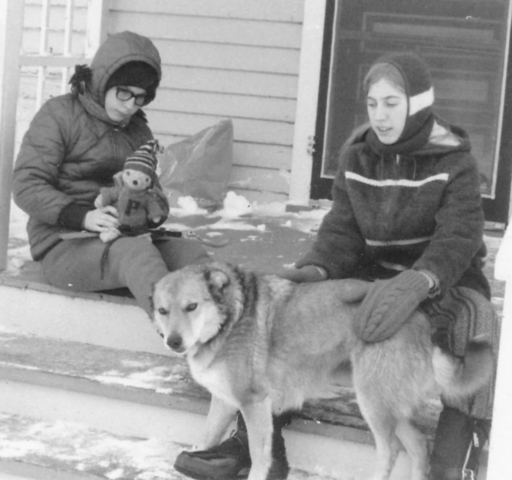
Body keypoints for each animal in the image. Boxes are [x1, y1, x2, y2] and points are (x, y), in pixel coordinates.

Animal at [151, 262, 492, 480]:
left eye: (192, 306)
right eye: (162, 311)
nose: (173, 342)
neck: (230, 320)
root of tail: (418, 316)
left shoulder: (254, 402)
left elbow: (260, 457)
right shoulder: (225, 402)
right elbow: (205, 440)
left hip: (372, 400)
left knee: (391, 449)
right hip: (388, 402)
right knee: (419, 446)